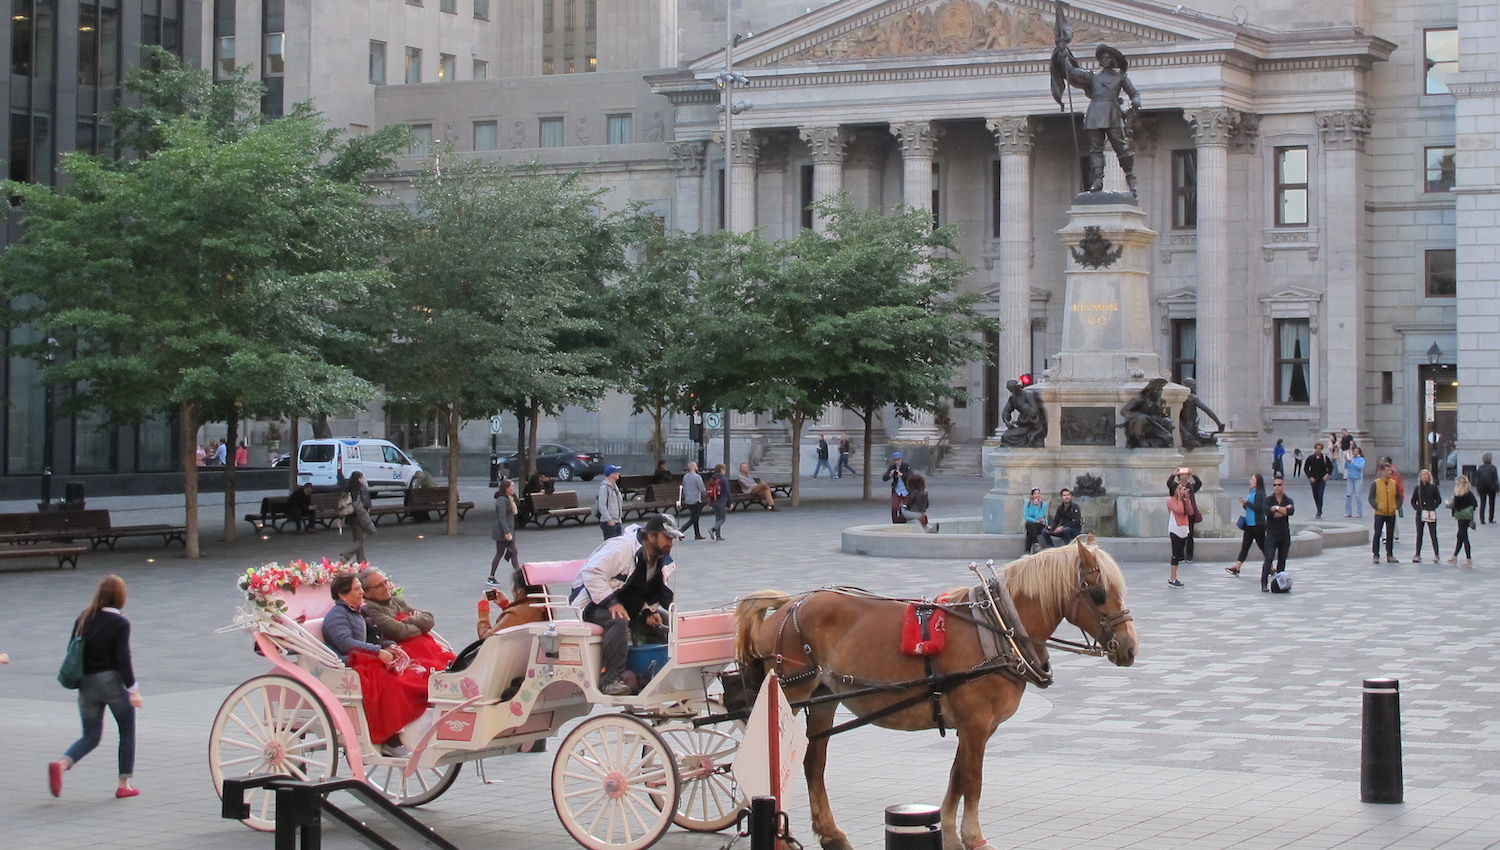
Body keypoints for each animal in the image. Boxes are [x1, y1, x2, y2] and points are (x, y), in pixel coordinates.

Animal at [735, 539, 1134, 850]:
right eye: (1099, 593)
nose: (1130, 648)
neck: (998, 627)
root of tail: (790, 603)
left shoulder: (974, 727)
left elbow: (957, 776)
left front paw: (951, 834)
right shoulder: (975, 724)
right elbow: (972, 779)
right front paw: (974, 837)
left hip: (822, 700)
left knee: (813, 762)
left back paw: (830, 834)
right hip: (790, 694)